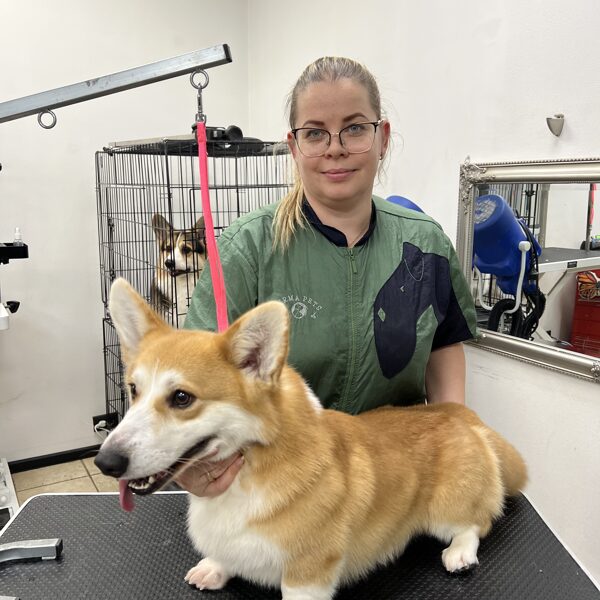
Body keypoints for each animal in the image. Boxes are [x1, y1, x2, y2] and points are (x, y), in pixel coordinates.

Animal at [95, 278, 527, 600]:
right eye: (133, 390)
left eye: (182, 398)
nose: (105, 463)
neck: (249, 470)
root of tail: (457, 413)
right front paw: (215, 568)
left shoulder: (307, 574)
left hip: (446, 509)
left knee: (477, 521)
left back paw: (460, 553)